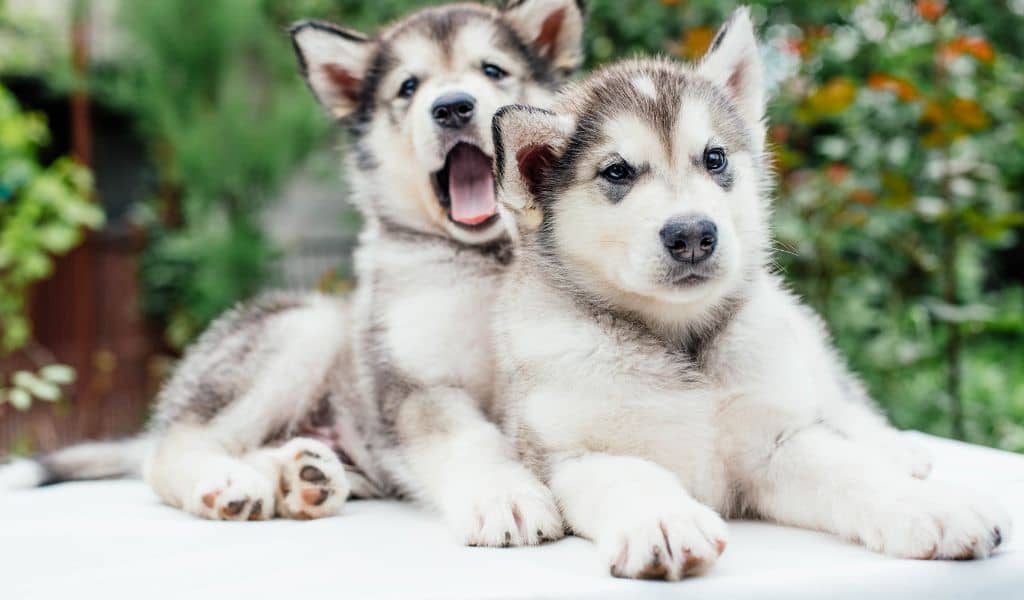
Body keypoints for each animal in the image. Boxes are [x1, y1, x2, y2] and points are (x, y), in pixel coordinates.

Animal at [4, 0, 585, 544]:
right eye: (409, 86)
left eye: (492, 70)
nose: (452, 107)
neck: (487, 260)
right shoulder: (415, 381)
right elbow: (470, 441)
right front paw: (504, 497)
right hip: (304, 327)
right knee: (173, 446)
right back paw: (232, 481)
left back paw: (305, 476)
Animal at [491, 7, 1011, 577]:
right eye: (617, 171)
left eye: (715, 158)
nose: (693, 233)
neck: (680, 343)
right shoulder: (566, 455)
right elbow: (629, 475)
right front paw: (665, 521)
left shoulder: (777, 443)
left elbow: (852, 470)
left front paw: (931, 506)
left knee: (839, 401)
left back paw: (895, 450)